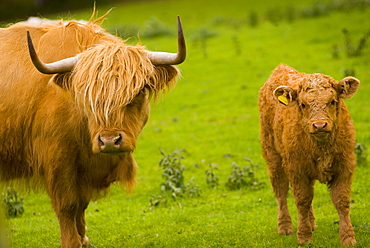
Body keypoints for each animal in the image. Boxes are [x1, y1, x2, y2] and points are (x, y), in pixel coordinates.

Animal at [0, 14, 185, 248]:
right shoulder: (56, 160)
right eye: (86, 95)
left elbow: (81, 205)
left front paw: (83, 239)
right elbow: (68, 206)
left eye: (139, 91)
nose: (109, 140)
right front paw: (72, 242)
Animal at [258, 64, 360, 246]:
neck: (321, 149)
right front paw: (304, 237)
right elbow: (302, 201)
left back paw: (311, 223)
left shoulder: (345, 167)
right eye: (303, 104)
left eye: (332, 101)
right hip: (273, 157)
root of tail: (281, 69)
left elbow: (341, 201)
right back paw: (285, 227)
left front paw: (348, 238)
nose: (319, 125)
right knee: (281, 191)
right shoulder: (297, 169)